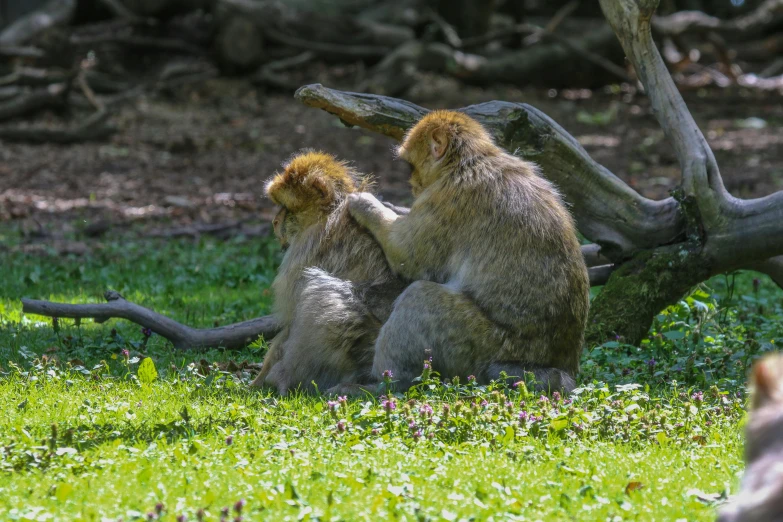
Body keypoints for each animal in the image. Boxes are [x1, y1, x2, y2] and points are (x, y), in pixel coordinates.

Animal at [250, 148, 408, 392]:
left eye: (286, 207)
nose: (275, 221)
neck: (330, 211)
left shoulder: (304, 249)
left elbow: (291, 318)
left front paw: (260, 380)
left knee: (322, 294)